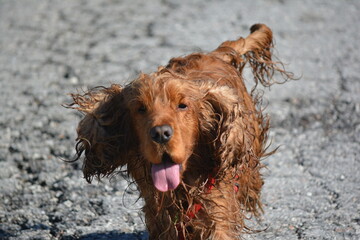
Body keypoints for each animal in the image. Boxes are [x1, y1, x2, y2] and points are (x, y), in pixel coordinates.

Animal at [68, 23, 292, 239]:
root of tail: (216, 54)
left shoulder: (217, 210)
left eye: (183, 105)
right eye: (140, 108)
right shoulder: (160, 218)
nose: (161, 133)